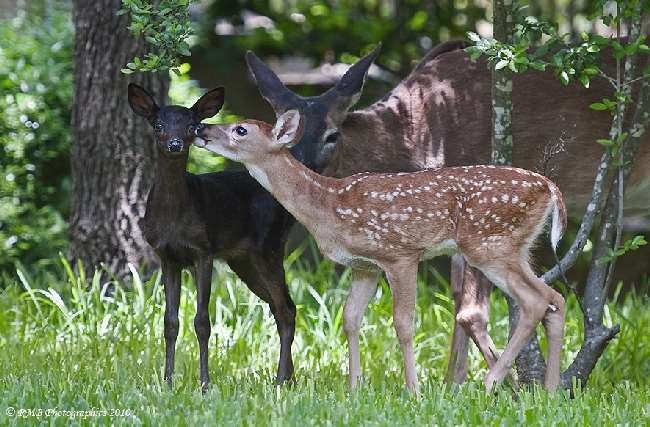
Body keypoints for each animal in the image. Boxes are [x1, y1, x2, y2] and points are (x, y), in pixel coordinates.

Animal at [194, 111, 568, 394]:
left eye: (240, 129)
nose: (200, 128)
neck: (327, 204)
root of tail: (550, 187)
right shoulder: (365, 266)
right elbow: (350, 319)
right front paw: (354, 388)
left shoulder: (399, 253)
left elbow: (403, 323)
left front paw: (413, 391)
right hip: (516, 247)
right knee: (555, 299)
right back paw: (550, 392)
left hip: (489, 244)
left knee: (536, 300)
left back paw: (491, 383)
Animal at [244, 41, 648, 384]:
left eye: (333, 135)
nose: (299, 167)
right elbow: (451, 302)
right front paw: (450, 383)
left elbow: (465, 312)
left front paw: (475, 385)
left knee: (528, 301)